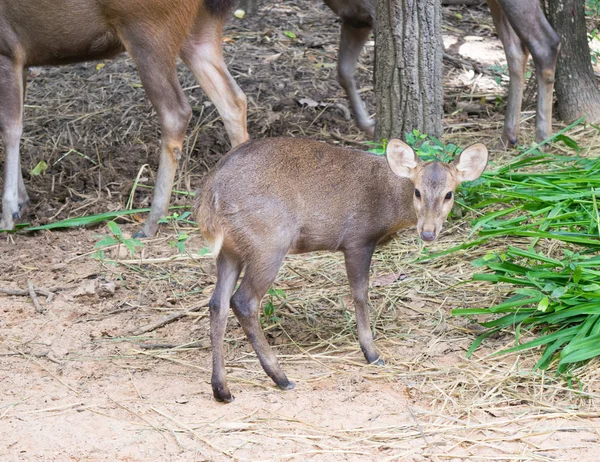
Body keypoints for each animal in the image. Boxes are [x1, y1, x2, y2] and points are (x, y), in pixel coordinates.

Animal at [0, 0, 247, 236]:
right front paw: (22, 202)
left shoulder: (8, 50)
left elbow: (10, 128)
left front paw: (9, 214)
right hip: (198, 28)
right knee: (233, 99)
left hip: (149, 30)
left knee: (175, 111)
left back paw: (151, 223)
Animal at [197, 137, 488, 400]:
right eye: (417, 191)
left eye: (449, 194)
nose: (428, 232)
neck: (389, 205)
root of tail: (212, 193)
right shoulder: (358, 239)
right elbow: (360, 295)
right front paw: (371, 353)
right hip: (269, 241)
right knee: (243, 301)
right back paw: (281, 377)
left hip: (231, 250)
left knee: (217, 303)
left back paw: (222, 389)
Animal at [324, 0, 556, 146]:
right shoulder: (354, 17)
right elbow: (343, 72)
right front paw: (368, 125)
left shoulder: (374, 14)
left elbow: (377, 75)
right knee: (516, 49)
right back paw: (508, 138)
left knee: (545, 42)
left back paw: (541, 141)